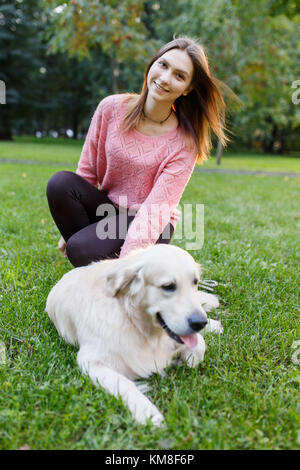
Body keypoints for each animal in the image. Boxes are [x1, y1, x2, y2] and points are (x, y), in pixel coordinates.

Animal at [45, 244, 221, 424]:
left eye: (195, 282)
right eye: (168, 286)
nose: (199, 322)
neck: (133, 320)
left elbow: (199, 345)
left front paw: (189, 358)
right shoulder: (91, 361)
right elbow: (124, 383)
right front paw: (148, 413)